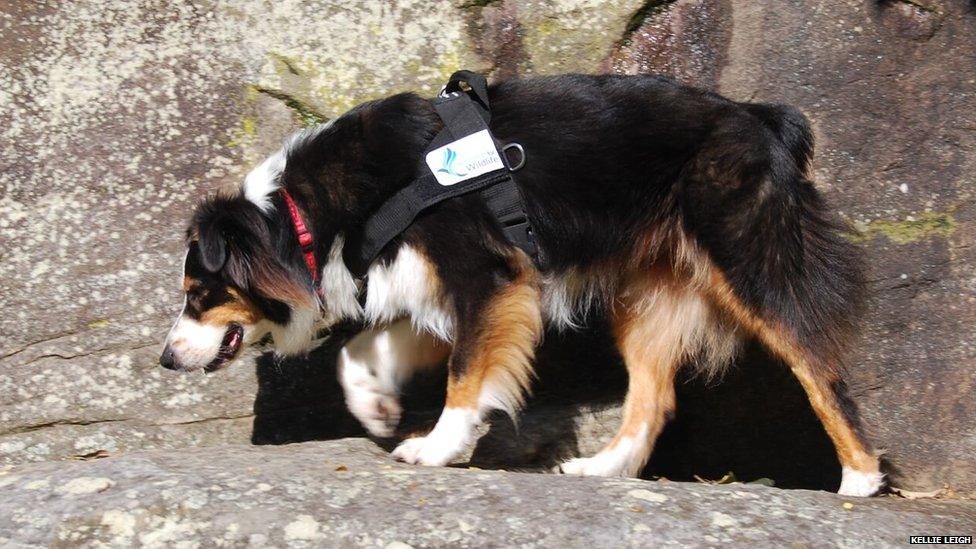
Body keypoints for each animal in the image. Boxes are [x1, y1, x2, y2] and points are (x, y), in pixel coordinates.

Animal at [162, 74, 884, 496]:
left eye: (199, 293)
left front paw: (435, 447)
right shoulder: (438, 281)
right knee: (653, 393)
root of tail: (764, 119)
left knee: (815, 360)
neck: (302, 217)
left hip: (744, 253)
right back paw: (600, 470)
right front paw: (376, 409)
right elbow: (364, 347)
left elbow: (465, 373)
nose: (166, 359)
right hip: (646, 290)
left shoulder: (490, 273)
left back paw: (860, 481)